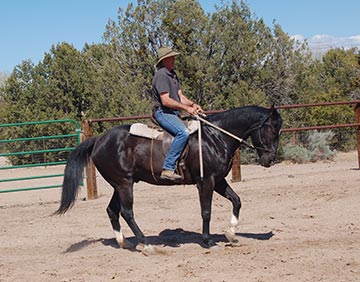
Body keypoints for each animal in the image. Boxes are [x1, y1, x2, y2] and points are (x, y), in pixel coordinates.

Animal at [55, 106, 282, 251]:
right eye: (271, 129)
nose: (270, 159)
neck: (215, 138)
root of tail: (99, 140)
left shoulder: (218, 181)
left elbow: (237, 201)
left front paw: (231, 233)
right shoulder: (206, 181)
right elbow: (206, 212)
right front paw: (207, 241)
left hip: (120, 185)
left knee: (112, 210)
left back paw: (124, 242)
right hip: (124, 184)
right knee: (127, 212)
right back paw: (146, 243)